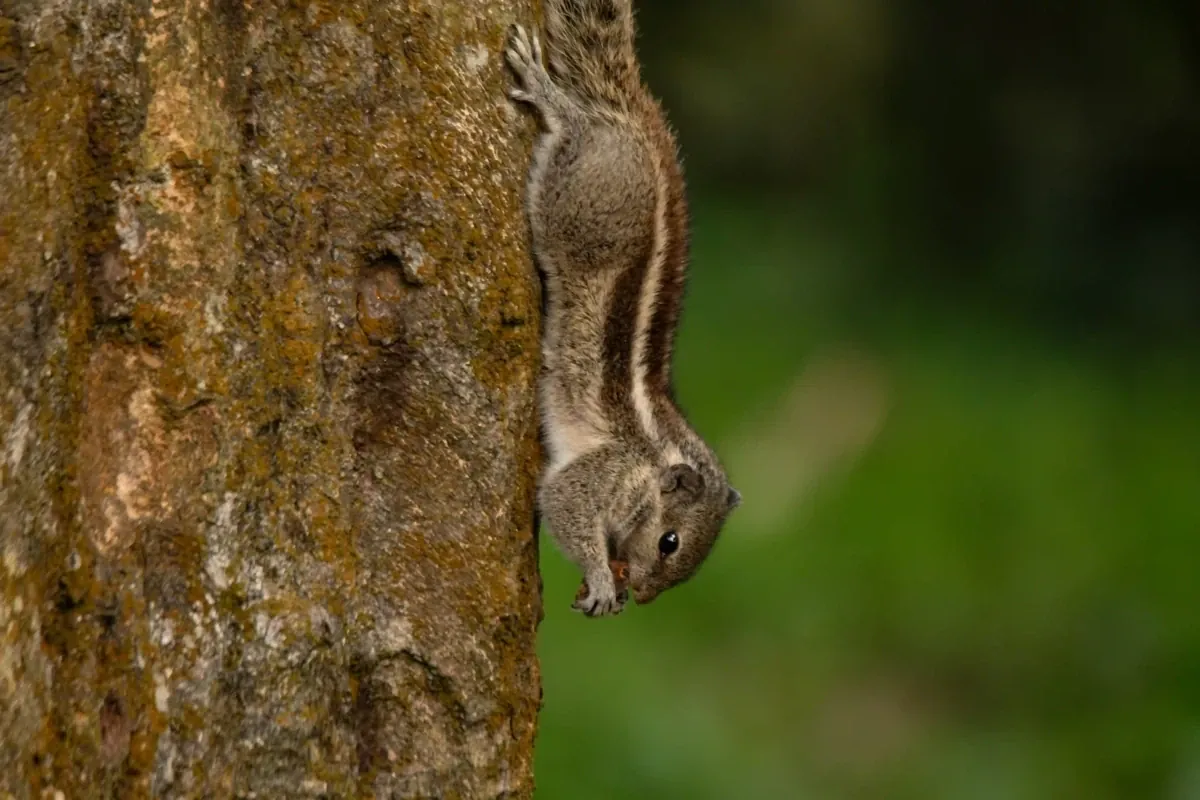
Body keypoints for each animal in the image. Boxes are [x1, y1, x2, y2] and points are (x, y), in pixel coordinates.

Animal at [505, 1, 740, 617]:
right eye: (669, 542)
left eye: (688, 565)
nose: (644, 595)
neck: (658, 456)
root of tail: (631, 111)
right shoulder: (608, 473)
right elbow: (563, 501)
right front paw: (601, 578)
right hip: (583, 190)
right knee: (575, 124)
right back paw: (551, 95)